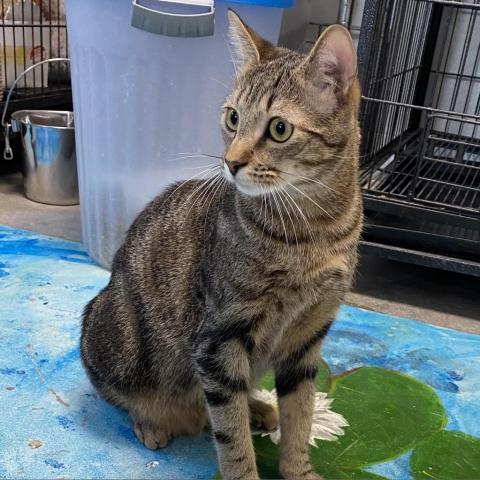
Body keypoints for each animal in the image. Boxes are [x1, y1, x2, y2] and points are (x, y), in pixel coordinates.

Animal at [81, 10, 360, 480]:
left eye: (279, 129)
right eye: (232, 118)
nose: (231, 162)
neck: (314, 228)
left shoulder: (307, 339)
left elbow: (301, 417)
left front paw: (299, 469)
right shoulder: (219, 340)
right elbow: (231, 437)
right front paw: (245, 469)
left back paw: (259, 408)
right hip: (116, 339)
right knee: (126, 396)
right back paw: (153, 421)